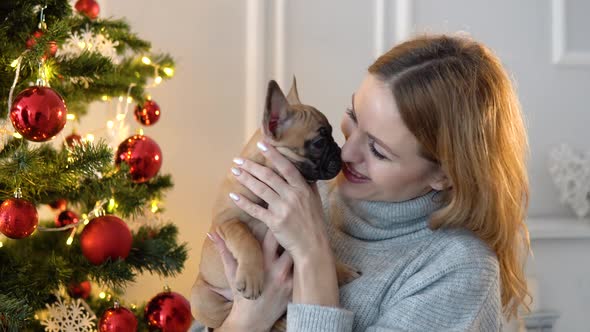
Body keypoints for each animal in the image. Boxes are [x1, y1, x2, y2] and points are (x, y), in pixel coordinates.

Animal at [194, 77, 360, 330]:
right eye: (320, 142)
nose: (340, 153)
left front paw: (341, 270)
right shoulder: (226, 221)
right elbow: (246, 237)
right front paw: (252, 275)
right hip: (202, 299)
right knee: (225, 313)